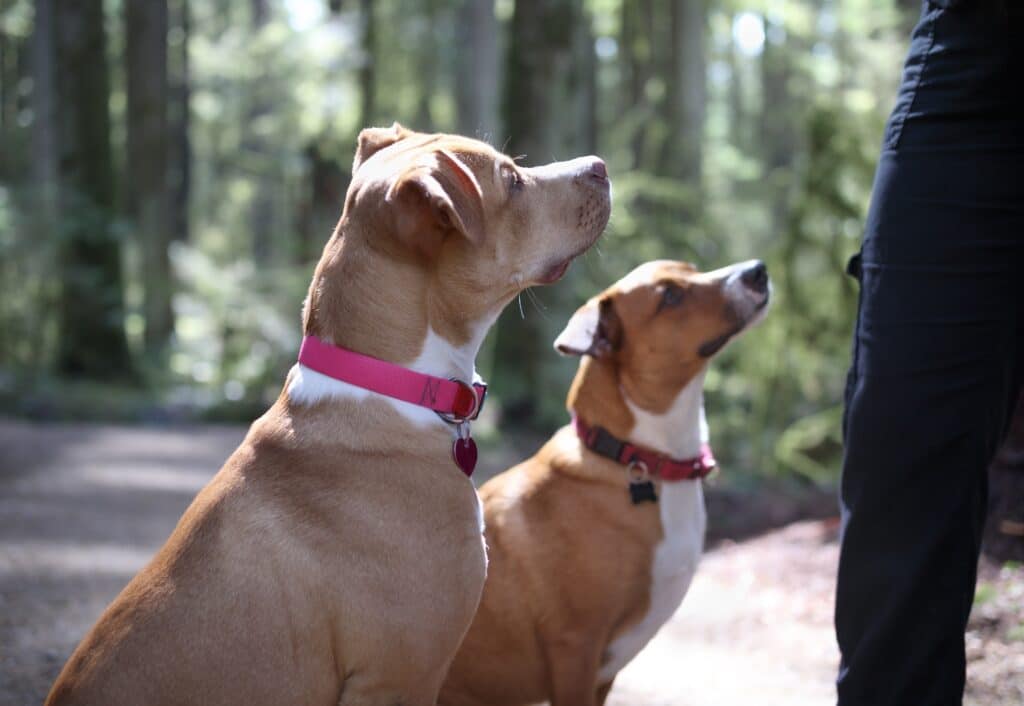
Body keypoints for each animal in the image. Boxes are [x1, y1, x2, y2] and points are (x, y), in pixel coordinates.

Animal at [438, 257, 770, 704]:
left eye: (693, 269)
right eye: (670, 296)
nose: (757, 271)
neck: (640, 459)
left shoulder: (602, 673)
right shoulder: (575, 649)